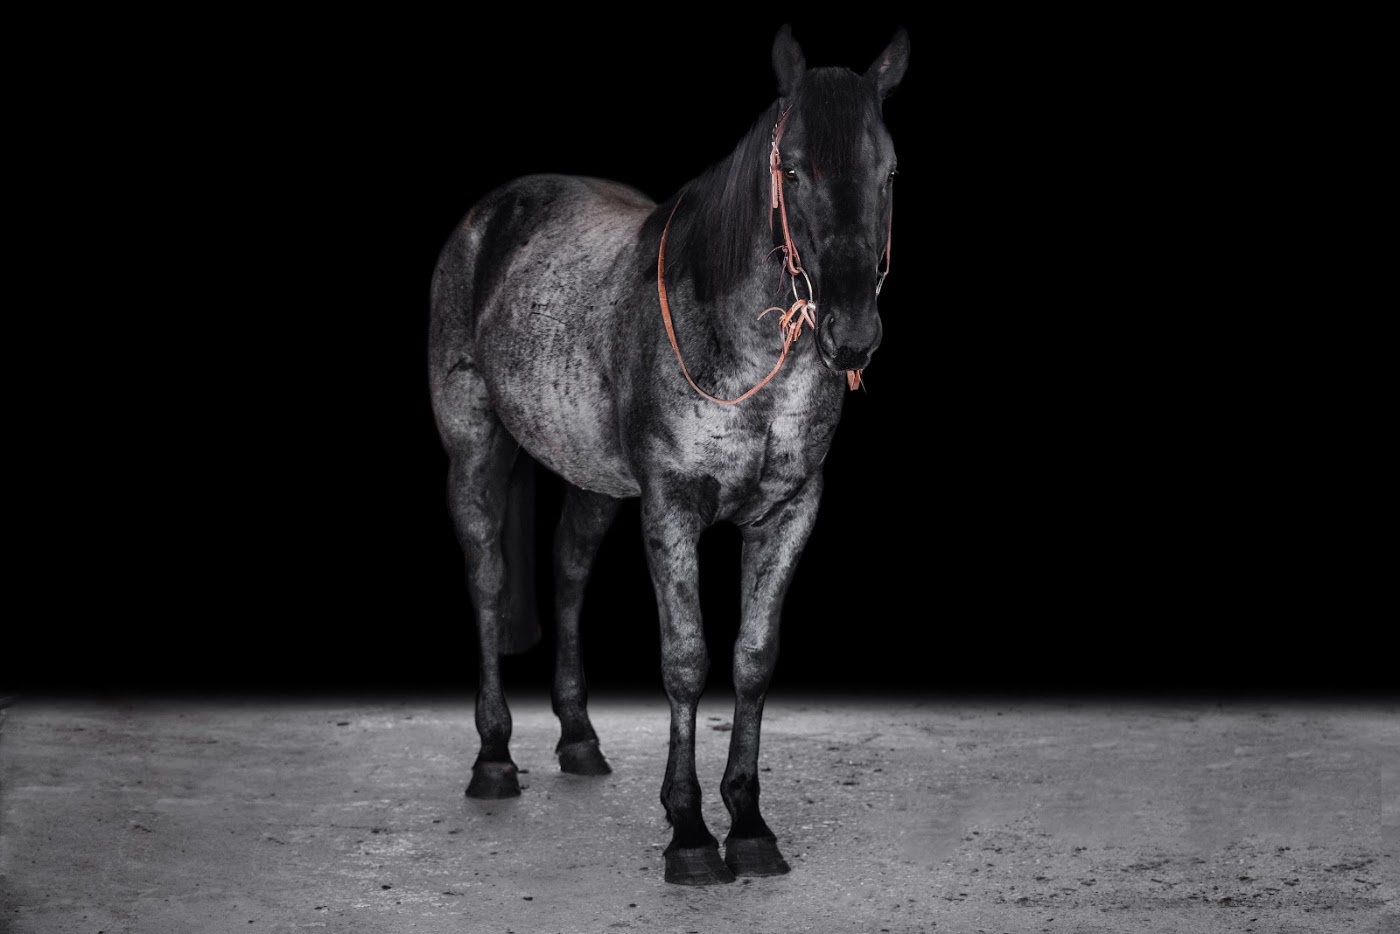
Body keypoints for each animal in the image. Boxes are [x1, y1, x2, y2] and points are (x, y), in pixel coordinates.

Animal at [427, 25, 908, 886]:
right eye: (792, 169)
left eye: (886, 170)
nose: (851, 335)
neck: (748, 357)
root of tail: (490, 214)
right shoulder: (672, 506)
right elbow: (686, 659)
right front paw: (688, 835)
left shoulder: (790, 511)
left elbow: (753, 658)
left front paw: (748, 825)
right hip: (474, 447)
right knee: (487, 579)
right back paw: (494, 760)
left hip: (592, 478)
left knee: (568, 572)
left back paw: (580, 741)